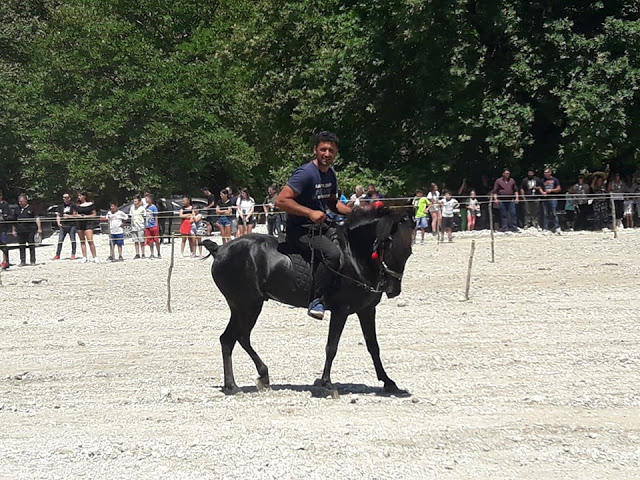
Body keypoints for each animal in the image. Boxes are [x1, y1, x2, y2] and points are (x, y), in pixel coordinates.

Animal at [205, 208, 416, 396]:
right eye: (389, 244)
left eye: (409, 251)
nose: (393, 290)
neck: (354, 257)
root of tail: (220, 249)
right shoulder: (341, 310)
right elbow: (332, 347)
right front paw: (327, 383)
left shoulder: (367, 310)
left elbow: (373, 346)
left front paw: (388, 382)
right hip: (248, 306)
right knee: (235, 337)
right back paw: (237, 384)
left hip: (242, 307)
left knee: (233, 338)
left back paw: (248, 380)